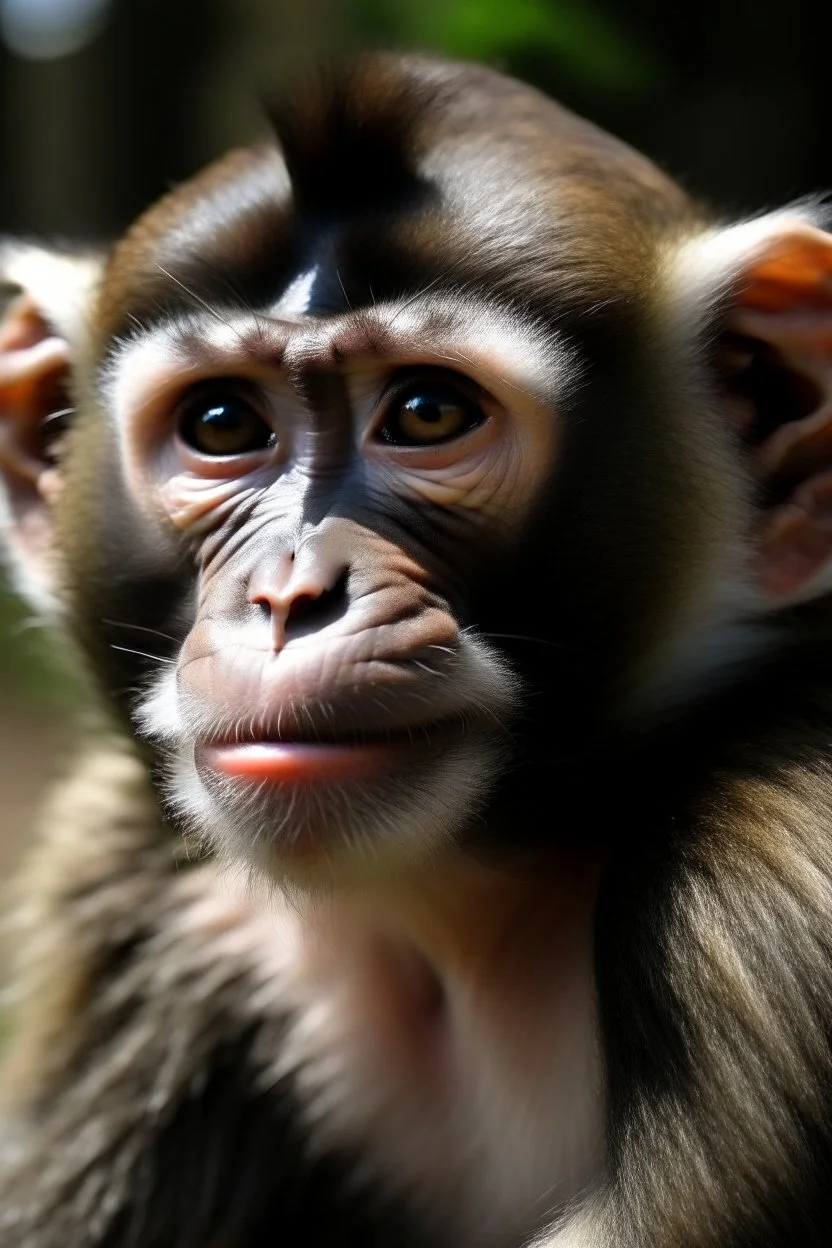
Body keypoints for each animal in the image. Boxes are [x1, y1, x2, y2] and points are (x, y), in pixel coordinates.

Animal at [1, 46, 832, 1248]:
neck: (468, 915)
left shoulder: (783, 883)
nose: (290, 595)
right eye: (221, 425)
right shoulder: (135, 874)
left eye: (429, 413)